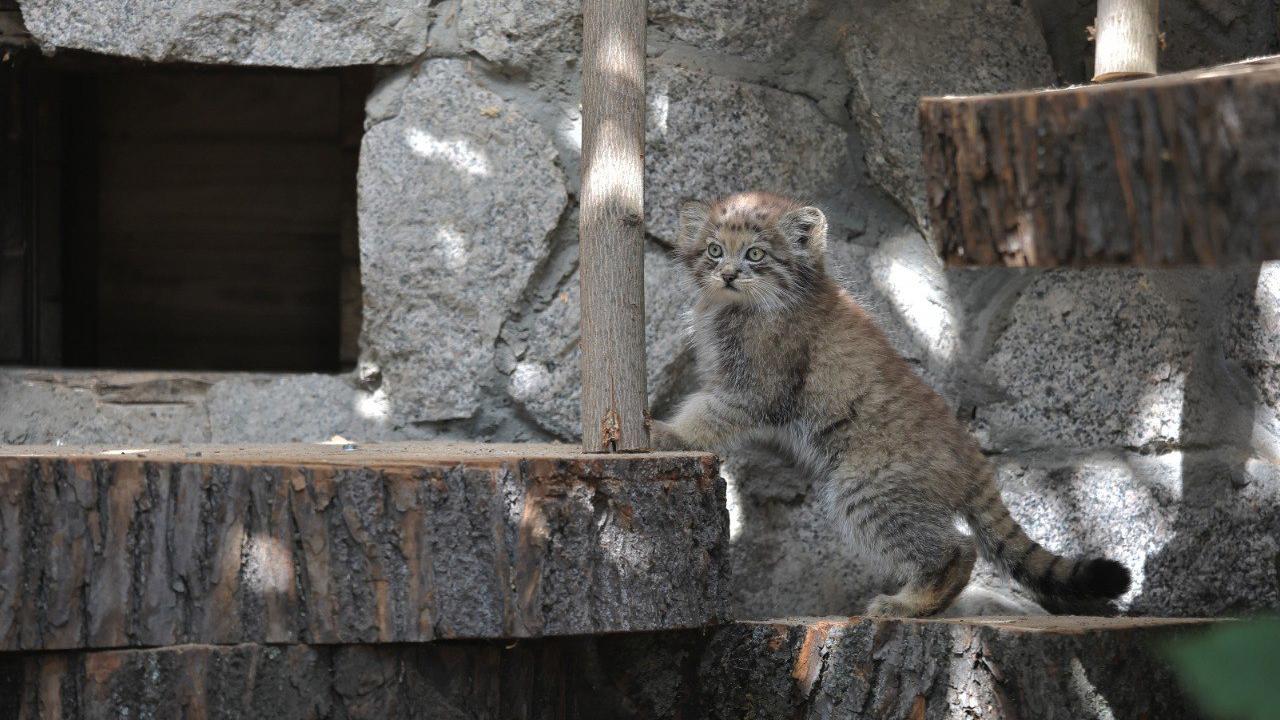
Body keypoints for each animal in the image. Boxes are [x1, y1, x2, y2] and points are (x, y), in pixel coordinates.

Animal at [650, 192, 1131, 617]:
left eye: (755, 254)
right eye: (714, 251)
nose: (728, 274)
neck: (741, 306)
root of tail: (975, 457)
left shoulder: (755, 389)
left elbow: (708, 415)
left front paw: (666, 432)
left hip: (868, 489)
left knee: (958, 548)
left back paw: (910, 604)